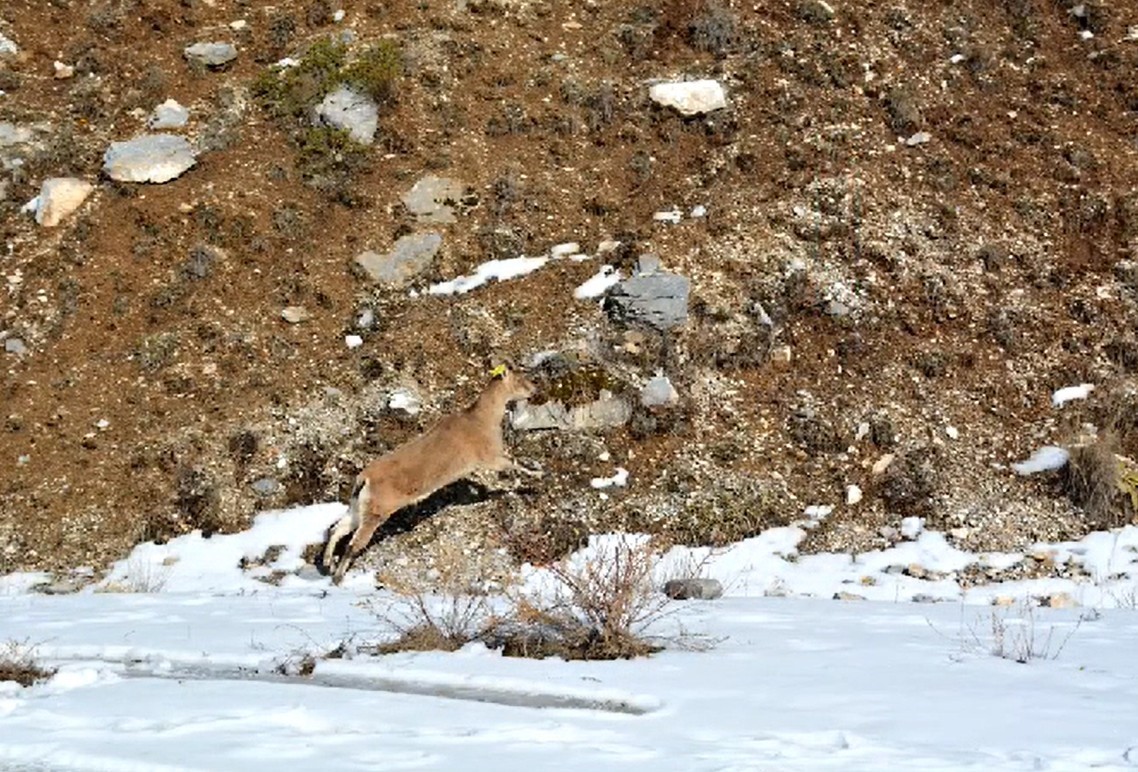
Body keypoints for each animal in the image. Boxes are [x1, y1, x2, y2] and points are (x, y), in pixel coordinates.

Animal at [327, 366, 539, 582]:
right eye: (520, 380)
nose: (534, 390)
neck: (482, 419)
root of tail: (364, 479)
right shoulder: (490, 456)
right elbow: (513, 464)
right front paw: (536, 475)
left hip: (358, 507)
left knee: (338, 528)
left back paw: (327, 563)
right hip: (376, 512)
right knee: (353, 543)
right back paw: (337, 576)